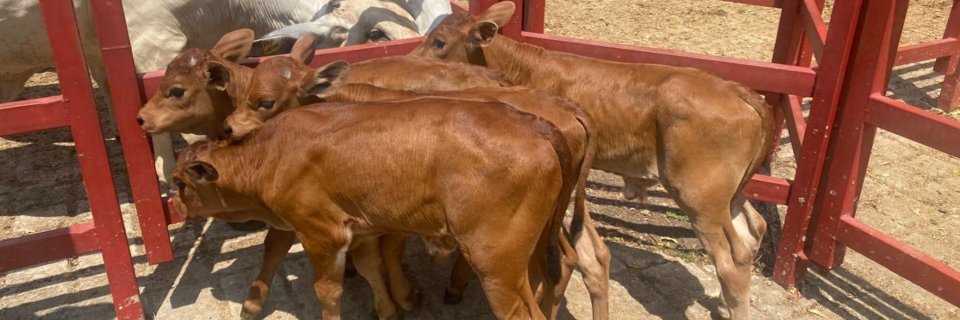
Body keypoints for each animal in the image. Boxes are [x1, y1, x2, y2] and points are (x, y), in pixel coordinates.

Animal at [171, 98, 576, 320]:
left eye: (179, 182)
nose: (173, 204)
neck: (272, 155)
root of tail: (525, 120)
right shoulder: (361, 227)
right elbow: (370, 268)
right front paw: (389, 309)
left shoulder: (322, 232)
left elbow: (327, 291)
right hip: (528, 253)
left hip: (494, 262)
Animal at [408, 1, 776, 318]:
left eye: (439, 42)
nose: (410, 60)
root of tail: (736, 89)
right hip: (729, 196)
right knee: (753, 229)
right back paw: (725, 304)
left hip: (700, 199)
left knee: (731, 260)